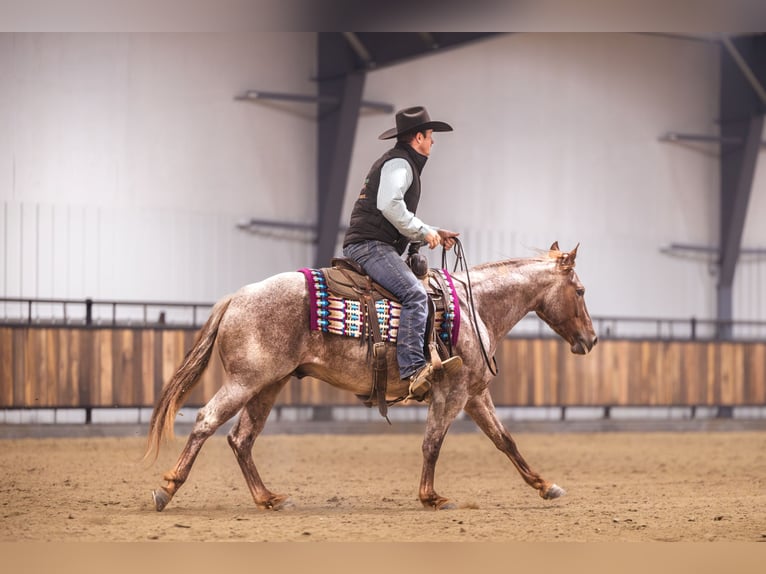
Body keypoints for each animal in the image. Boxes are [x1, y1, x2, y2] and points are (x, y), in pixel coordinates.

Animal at [145, 241, 597, 511]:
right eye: (580, 291)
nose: (591, 339)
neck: (473, 307)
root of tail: (236, 297)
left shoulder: (473, 393)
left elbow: (505, 440)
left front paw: (545, 485)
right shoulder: (450, 393)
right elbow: (432, 443)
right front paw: (431, 497)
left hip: (268, 385)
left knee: (241, 438)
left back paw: (268, 498)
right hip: (245, 382)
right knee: (206, 421)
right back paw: (166, 489)